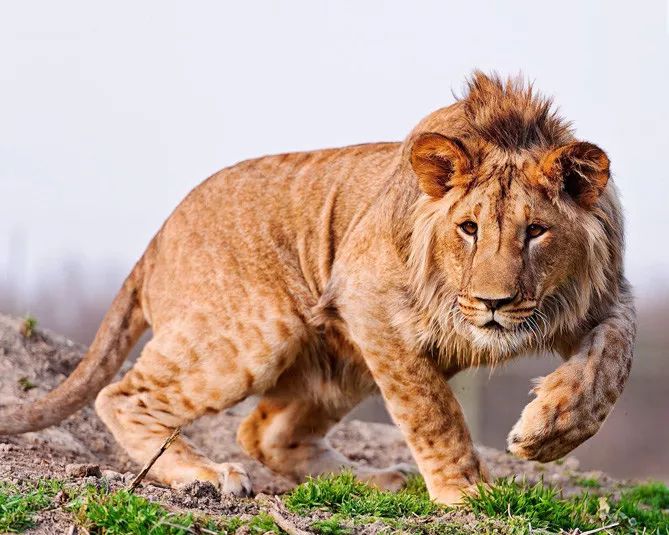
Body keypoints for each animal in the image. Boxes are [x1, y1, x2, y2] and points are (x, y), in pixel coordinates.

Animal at [0, 72, 635, 505]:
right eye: (469, 228)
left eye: (536, 231)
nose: (494, 303)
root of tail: (156, 239)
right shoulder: (370, 302)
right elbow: (433, 410)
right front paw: (466, 493)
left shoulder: (603, 296)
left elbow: (613, 362)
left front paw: (548, 432)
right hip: (258, 333)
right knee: (125, 396)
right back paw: (207, 475)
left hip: (341, 363)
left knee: (264, 431)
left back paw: (376, 480)